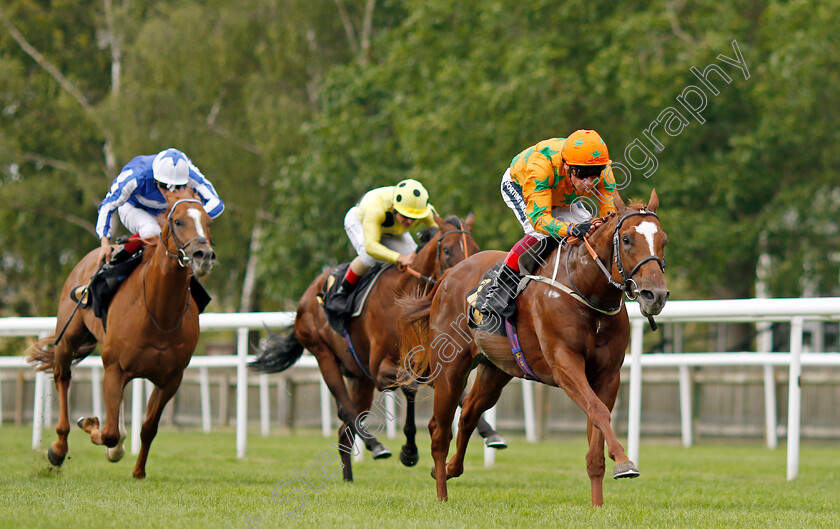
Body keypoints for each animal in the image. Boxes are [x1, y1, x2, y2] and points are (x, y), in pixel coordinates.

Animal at [30, 191, 217, 478]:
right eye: (177, 221)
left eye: (208, 222)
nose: (203, 255)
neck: (159, 314)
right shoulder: (115, 367)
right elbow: (108, 433)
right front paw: (89, 424)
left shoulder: (171, 379)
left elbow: (148, 428)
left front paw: (138, 471)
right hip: (69, 335)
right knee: (63, 377)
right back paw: (59, 448)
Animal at [249, 212, 502, 480]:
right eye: (447, 250)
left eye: (475, 248)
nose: (468, 285)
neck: (403, 295)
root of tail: (306, 296)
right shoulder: (381, 368)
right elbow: (410, 387)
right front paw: (409, 451)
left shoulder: (424, 360)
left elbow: (452, 393)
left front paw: (490, 432)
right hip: (324, 355)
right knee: (346, 410)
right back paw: (376, 445)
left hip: (361, 379)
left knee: (344, 432)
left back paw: (349, 479)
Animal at [400, 192, 668, 506]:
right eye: (626, 239)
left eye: (663, 240)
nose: (655, 295)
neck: (585, 288)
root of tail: (448, 275)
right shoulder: (564, 363)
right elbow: (598, 412)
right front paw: (625, 462)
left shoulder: (609, 374)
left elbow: (597, 429)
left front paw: (598, 504)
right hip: (450, 370)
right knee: (439, 430)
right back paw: (442, 493)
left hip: (495, 371)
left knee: (468, 414)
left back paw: (451, 469)